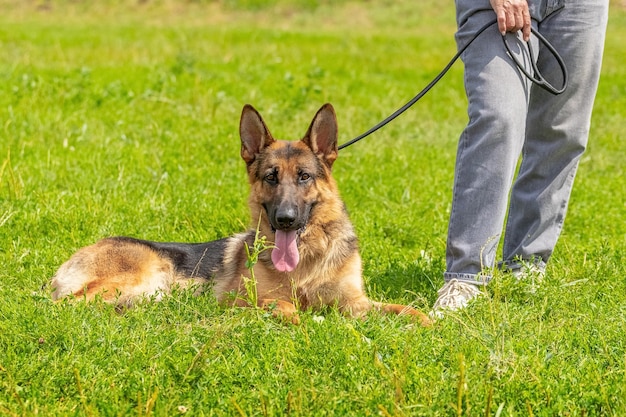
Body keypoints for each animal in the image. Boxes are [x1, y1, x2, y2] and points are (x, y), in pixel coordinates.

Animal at [51, 104, 428, 324]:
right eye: (271, 177)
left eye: (304, 176)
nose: (285, 219)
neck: (307, 258)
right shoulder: (247, 301)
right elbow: (286, 308)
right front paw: (304, 320)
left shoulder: (354, 303)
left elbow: (405, 310)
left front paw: (428, 322)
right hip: (144, 275)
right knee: (65, 304)